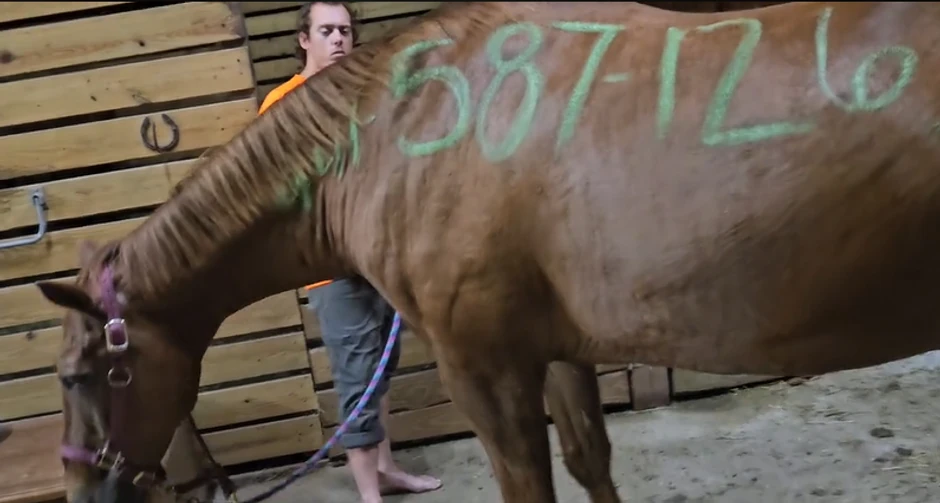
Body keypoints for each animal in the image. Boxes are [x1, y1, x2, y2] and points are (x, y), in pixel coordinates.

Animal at [33, 1, 940, 502]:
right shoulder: (561, 348)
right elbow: (590, 459)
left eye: (80, 376)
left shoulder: (485, 369)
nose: (82, 490)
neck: (392, 135)